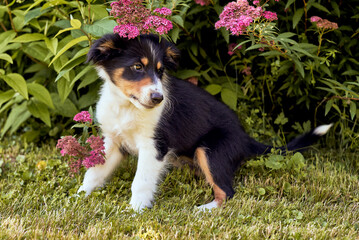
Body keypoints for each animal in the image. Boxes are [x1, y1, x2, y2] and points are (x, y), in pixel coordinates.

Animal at [78, 33, 332, 210]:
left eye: (160, 72)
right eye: (137, 67)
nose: (158, 98)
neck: (127, 107)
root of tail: (244, 137)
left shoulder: (154, 147)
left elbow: (141, 181)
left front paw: (135, 210)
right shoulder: (113, 141)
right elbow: (94, 173)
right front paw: (79, 196)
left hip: (210, 150)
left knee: (227, 192)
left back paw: (202, 210)